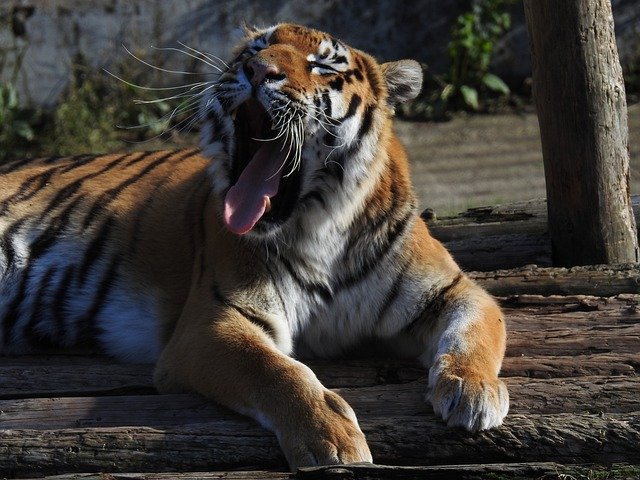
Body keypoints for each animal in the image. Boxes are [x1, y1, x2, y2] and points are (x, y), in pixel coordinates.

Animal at [1, 23, 510, 468]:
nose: (257, 70)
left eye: (323, 65)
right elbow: (277, 370)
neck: (323, 231)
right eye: (256, 48)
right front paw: (331, 437)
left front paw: (472, 390)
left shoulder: (453, 289)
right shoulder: (213, 321)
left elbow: (478, 329)